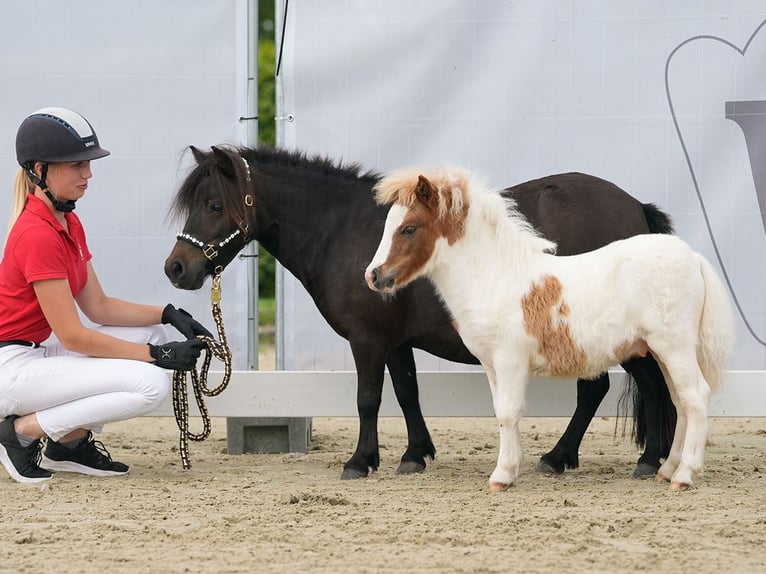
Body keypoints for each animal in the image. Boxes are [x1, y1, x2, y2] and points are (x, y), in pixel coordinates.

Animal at [165, 145, 676, 482]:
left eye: (215, 204)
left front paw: (360, 462)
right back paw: (578, 457)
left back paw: (635, 459)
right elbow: (407, 393)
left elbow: (368, 399)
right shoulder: (396, 341)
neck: (345, 230)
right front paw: (414, 454)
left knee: (637, 386)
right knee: (609, 390)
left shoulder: (368, 340)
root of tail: (636, 208)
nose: (176, 268)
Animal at [366, 168, 736, 496]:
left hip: (673, 347)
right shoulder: (491, 364)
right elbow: (502, 412)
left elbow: (509, 412)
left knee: (695, 397)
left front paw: (502, 476)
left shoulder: (510, 359)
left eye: (409, 228)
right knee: (680, 400)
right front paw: (511, 467)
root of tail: (693, 257)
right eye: (387, 226)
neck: (495, 276)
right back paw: (666, 469)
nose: (374, 275)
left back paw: (683, 475)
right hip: (662, 352)